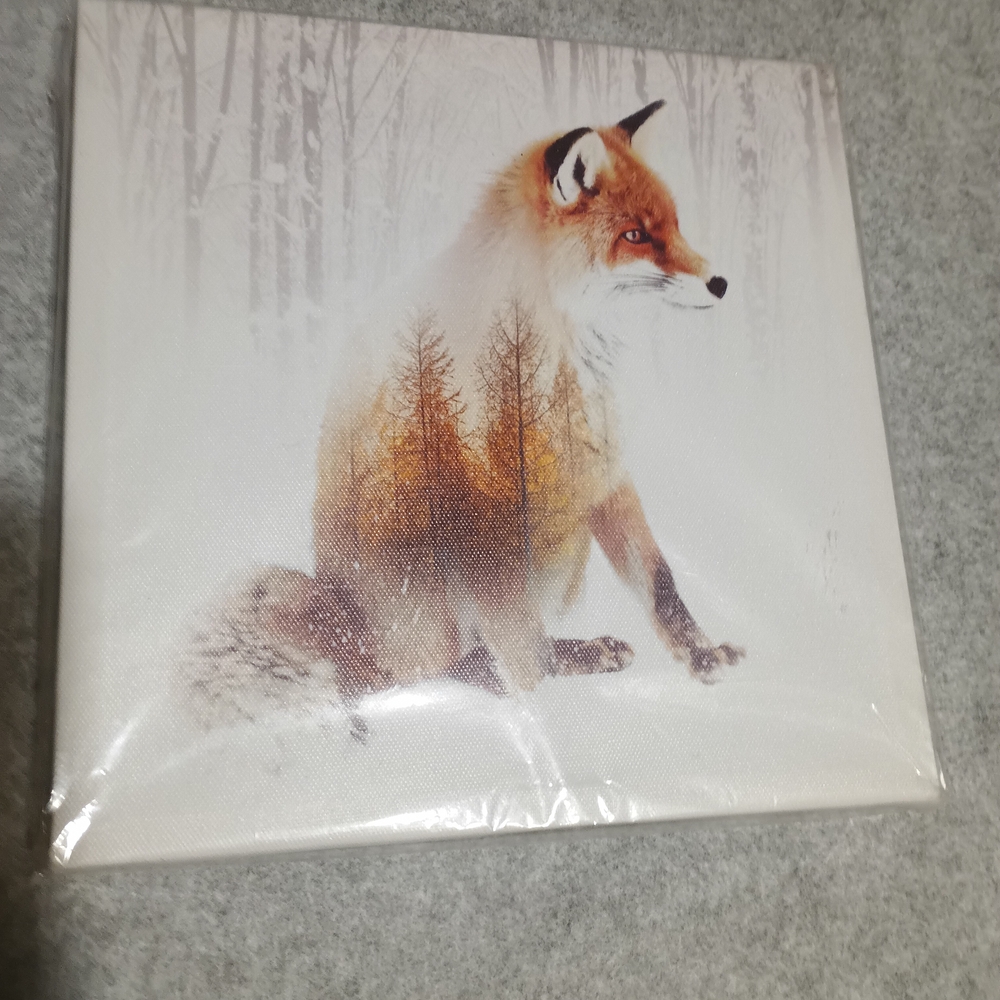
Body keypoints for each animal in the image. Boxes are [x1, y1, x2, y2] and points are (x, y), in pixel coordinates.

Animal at [184, 100, 743, 727]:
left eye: (674, 226)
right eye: (635, 236)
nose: (721, 282)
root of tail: (343, 623)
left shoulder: (602, 468)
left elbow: (660, 582)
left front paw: (701, 656)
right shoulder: (486, 504)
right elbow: (526, 651)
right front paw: (547, 710)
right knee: (441, 667)